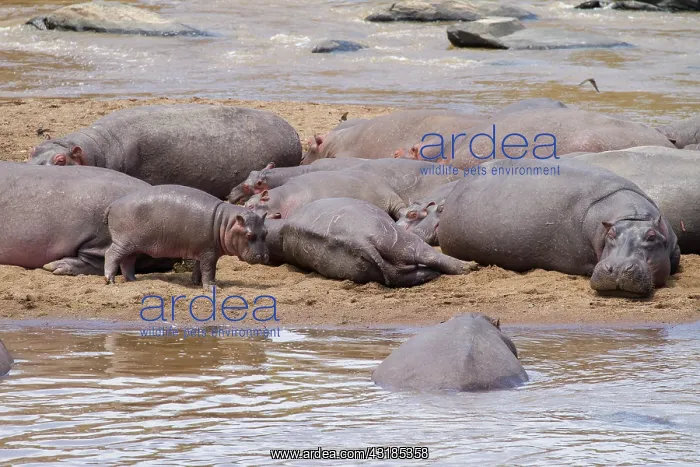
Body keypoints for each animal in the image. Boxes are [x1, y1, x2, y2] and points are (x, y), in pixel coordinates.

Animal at [105, 185, 268, 289]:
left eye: (266, 232)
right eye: (249, 234)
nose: (263, 256)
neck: (225, 223)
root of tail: (112, 204)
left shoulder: (202, 251)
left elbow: (198, 268)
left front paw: (196, 282)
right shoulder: (209, 253)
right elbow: (209, 270)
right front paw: (212, 287)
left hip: (133, 245)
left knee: (127, 261)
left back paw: (133, 280)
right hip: (123, 242)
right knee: (111, 255)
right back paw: (110, 281)